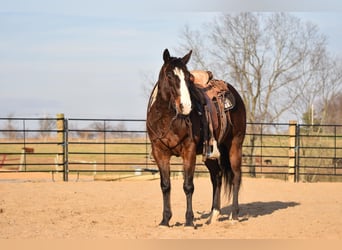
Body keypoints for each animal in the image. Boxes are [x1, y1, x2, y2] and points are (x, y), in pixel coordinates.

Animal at [147, 48, 246, 227]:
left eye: (188, 77)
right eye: (169, 75)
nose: (186, 106)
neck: (166, 119)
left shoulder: (189, 151)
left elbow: (188, 186)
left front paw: (189, 221)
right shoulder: (160, 152)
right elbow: (165, 185)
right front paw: (165, 220)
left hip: (235, 145)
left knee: (236, 176)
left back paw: (234, 216)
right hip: (211, 153)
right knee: (217, 177)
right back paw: (213, 215)